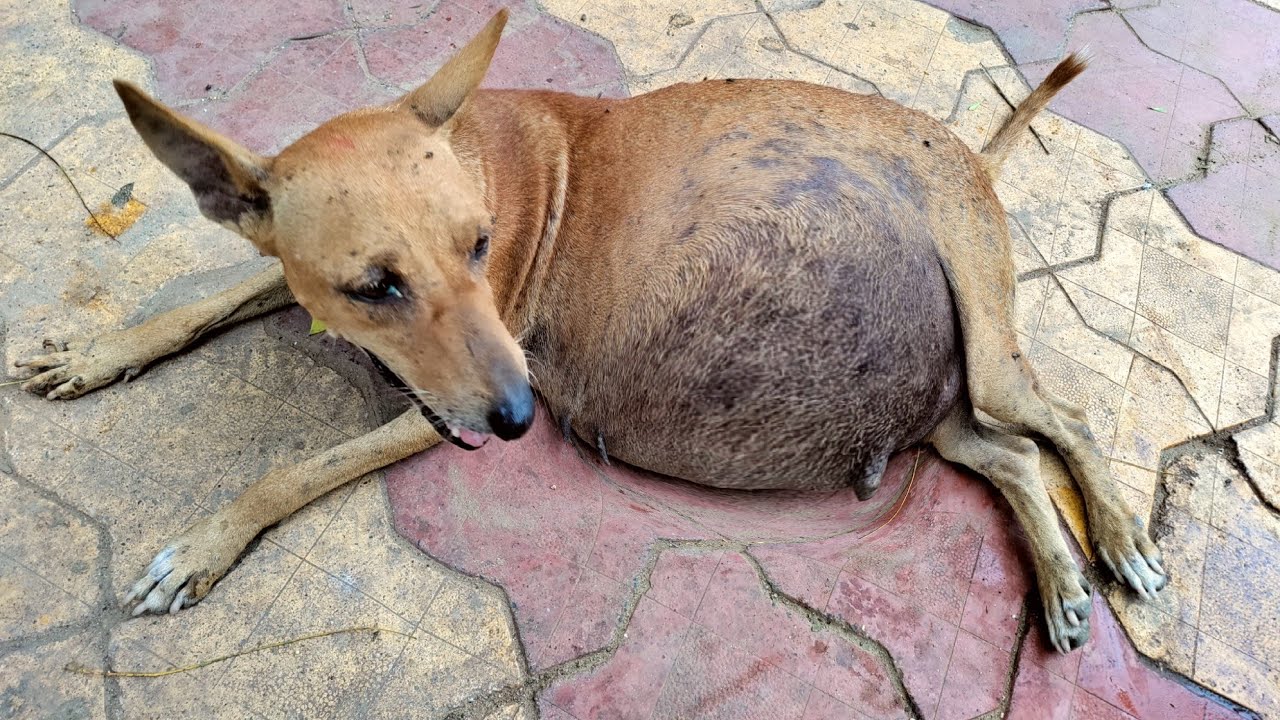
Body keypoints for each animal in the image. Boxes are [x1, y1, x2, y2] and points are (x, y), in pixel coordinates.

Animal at [15, 9, 1167, 650]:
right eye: (372, 286)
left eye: (482, 245)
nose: (523, 417)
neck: (478, 154)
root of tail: (971, 149)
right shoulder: (313, 289)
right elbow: (201, 303)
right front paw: (101, 352)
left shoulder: (438, 410)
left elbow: (289, 471)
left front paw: (203, 548)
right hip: (943, 397)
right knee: (1005, 454)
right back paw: (1062, 582)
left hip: (985, 341)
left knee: (1060, 419)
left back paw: (1115, 539)